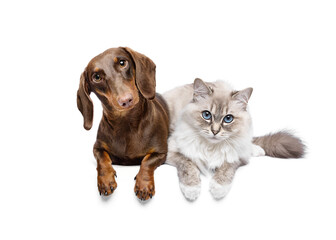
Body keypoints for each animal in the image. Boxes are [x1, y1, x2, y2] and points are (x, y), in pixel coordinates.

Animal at [77, 47, 169, 201]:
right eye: (97, 77)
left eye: (122, 62)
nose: (126, 100)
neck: (127, 123)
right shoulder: (97, 147)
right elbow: (102, 159)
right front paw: (106, 180)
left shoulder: (161, 152)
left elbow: (146, 162)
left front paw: (144, 185)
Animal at [164, 79, 306, 201]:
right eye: (206, 115)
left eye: (228, 119)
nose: (215, 131)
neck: (211, 147)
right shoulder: (171, 152)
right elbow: (188, 164)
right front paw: (192, 190)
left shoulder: (237, 156)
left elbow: (226, 167)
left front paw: (218, 189)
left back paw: (257, 150)